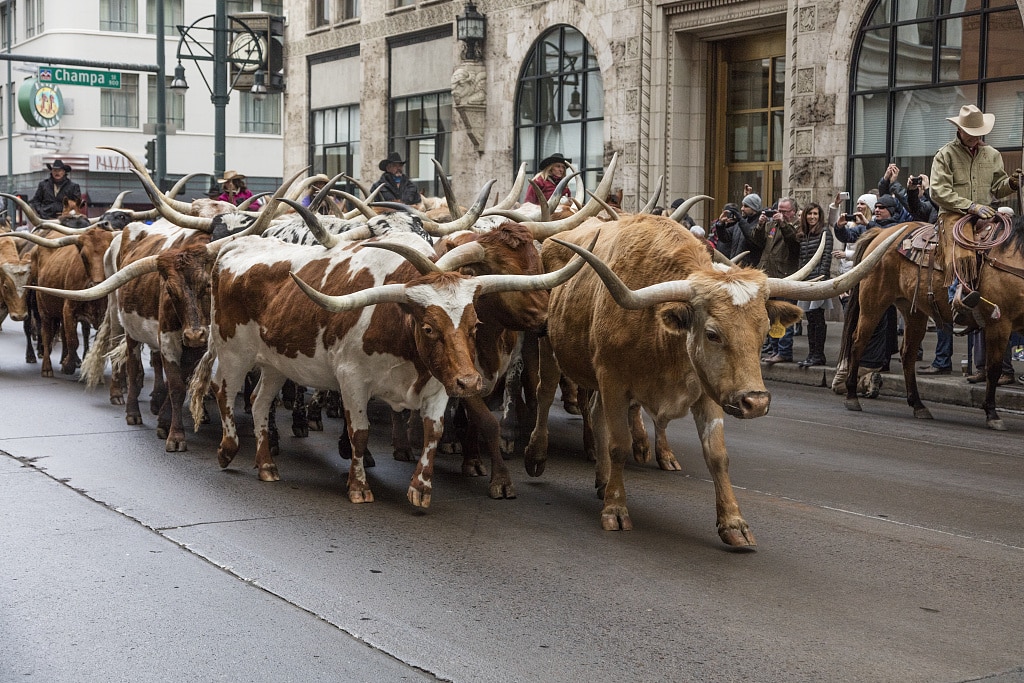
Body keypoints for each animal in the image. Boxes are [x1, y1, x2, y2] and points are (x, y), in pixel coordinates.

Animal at [839, 216, 1024, 430]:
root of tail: (882, 231)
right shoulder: (999, 325)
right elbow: (993, 369)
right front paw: (992, 413)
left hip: (914, 311)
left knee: (908, 354)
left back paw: (918, 405)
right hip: (873, 303)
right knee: (858, 343)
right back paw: (852, 396)